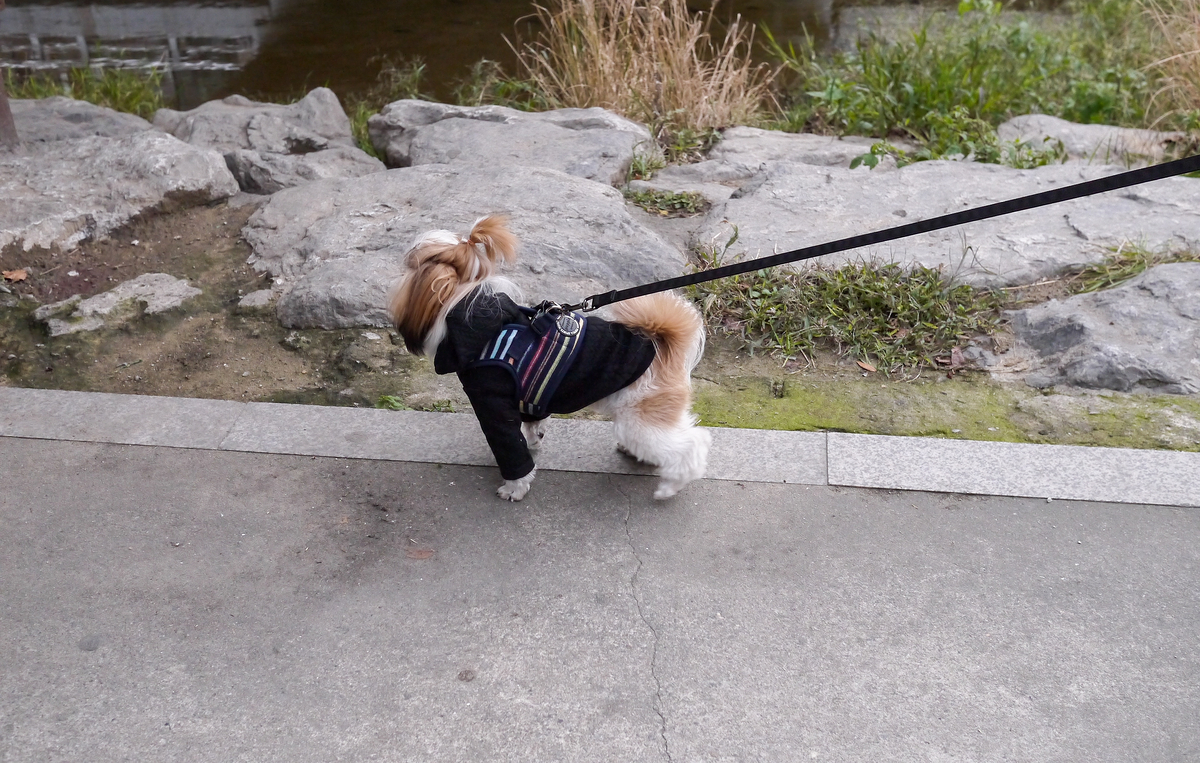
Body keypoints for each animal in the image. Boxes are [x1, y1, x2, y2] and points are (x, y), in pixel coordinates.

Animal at [387, 215, 710, 502]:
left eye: (411, 265)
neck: (479, 322)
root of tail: (664, 345)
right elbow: (530, 426)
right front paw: (534, 441)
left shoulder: (492, 405)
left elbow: (511, 451)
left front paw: (515, 487)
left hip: (641, 421)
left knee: (692, 445)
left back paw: (669, 487)